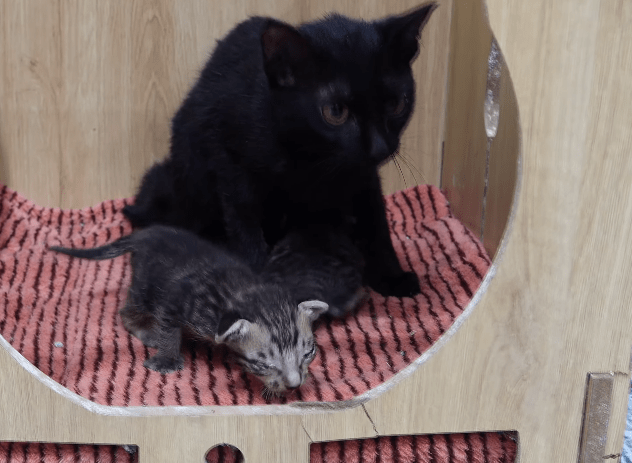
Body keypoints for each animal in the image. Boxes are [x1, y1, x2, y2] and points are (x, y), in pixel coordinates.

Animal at [50, 227, 326, 394]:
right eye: (264, 363)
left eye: (308, 353)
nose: (294, 385)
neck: (244, 291)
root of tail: (147, 233)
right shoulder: (173, 303)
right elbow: (169, 331)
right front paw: (167, 359)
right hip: (144, 287)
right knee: (127, 312)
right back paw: (145, 330)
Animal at [124, 4, 440, 298]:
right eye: (335, 112)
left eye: (396, 105)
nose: (380, 146)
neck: (312, 158)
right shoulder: (231, 167)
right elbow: (245, 226)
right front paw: (260, 282)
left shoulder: (363, 175)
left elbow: (376, 221)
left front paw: (391, 275)